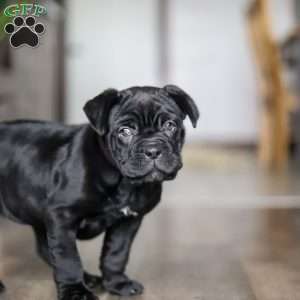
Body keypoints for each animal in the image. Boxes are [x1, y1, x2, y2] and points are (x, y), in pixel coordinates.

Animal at [0, 85, 199, 298]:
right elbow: (68, 258)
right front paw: (75, 291)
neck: (123, 182)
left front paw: (117, 283)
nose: (153, 150)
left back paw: (89, 279)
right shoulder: (61, 216)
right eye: (125, 131)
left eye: (170, 125)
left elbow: (116, 253)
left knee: (45, 248)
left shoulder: (127, 221)